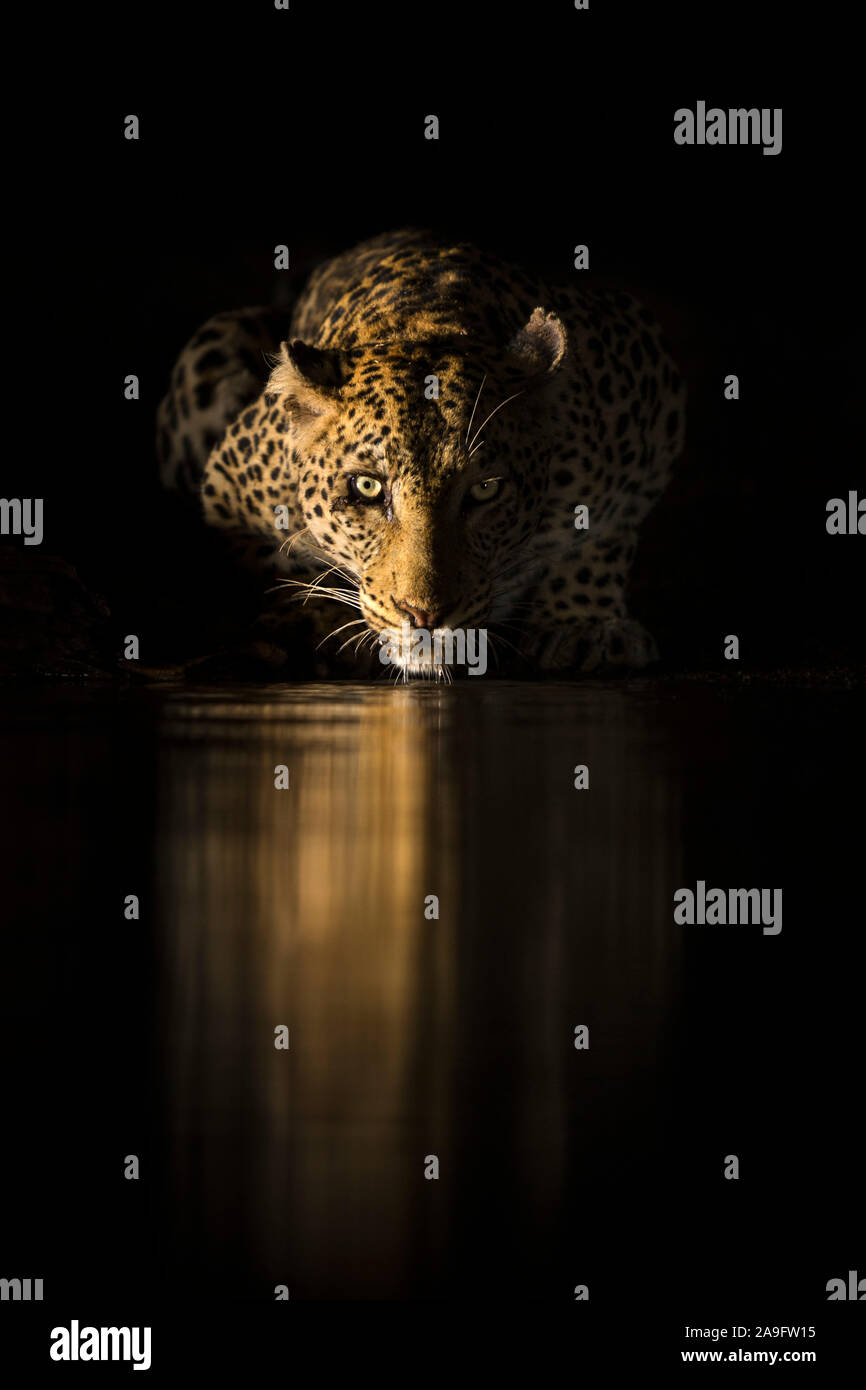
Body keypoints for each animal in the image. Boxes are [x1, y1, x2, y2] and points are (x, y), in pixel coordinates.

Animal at [156, 228, 686, 676]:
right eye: (367, 487)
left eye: (485, 490)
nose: (425, 615)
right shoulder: (227, 490)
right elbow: (287, 564)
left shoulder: (646, 383)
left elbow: (606, 531)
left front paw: (583, 625)